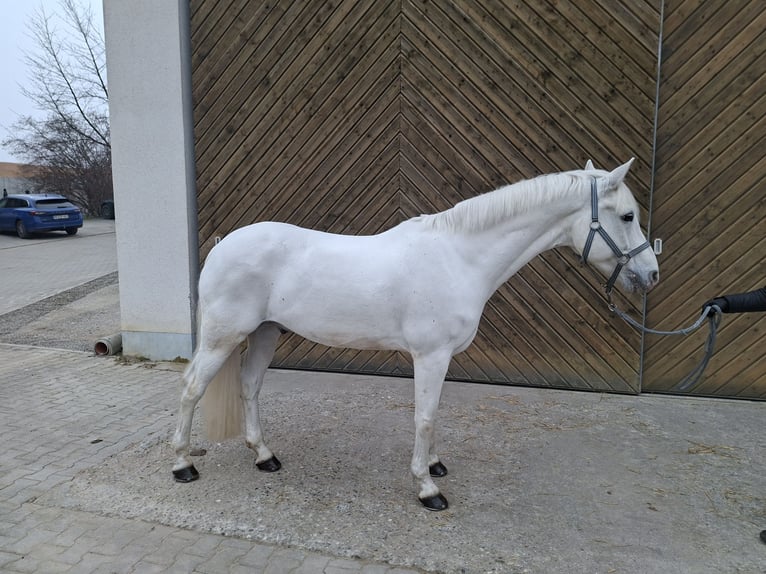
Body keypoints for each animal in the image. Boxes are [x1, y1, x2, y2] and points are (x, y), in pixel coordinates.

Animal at [171, 158, 659, 511]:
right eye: (627, 215)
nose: (651, 274)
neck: (458, 257)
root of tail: (223, 244)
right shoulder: (431, 355)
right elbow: (424, 417)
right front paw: (427, 489)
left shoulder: (442, 358)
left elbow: (435, 412)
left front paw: (436, 466)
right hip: (223, 337)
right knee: (192, 389)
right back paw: (182, 465)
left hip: (265, 333)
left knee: (249, 387)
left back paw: (265, 456)